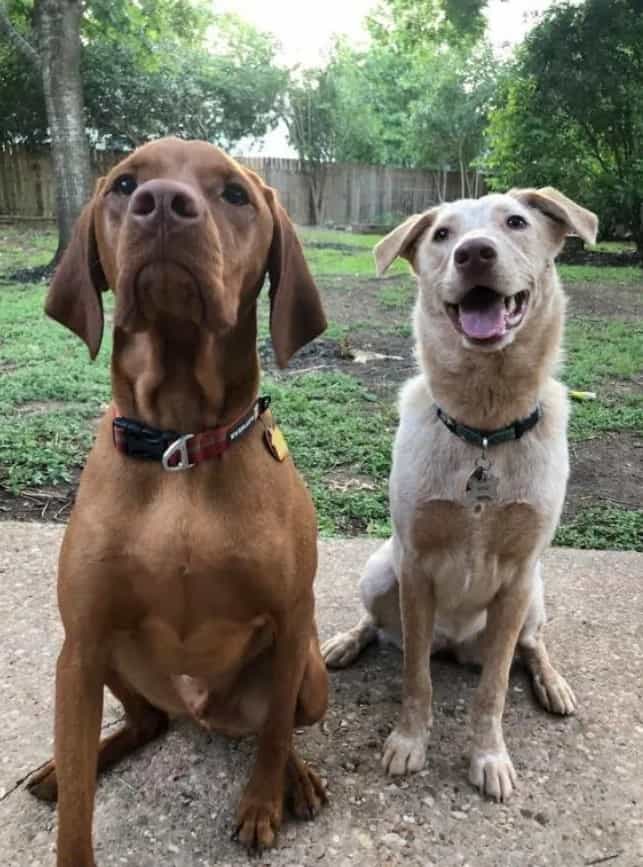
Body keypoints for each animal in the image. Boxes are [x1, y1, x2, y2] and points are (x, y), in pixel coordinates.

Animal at [27, 137, 330, 860]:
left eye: (235, 194)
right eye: (124, 182)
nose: (161, 202)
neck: (180, 445)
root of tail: (201, 713)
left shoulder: (291, 619)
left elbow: (274, 733)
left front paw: (262, 802)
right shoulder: (81, 644)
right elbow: (77, 814)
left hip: (309, 673)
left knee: (272, 726)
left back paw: (296, 779)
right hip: (100, 659)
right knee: (145, 723)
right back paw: (76, 762)